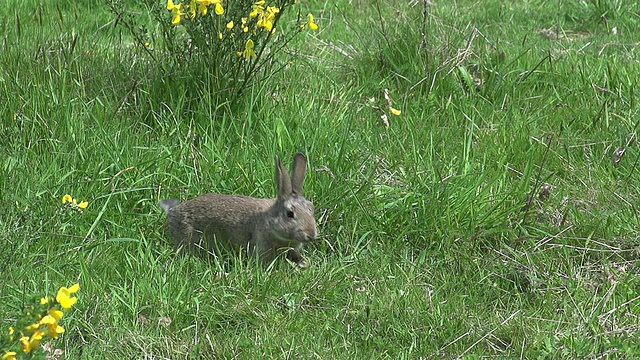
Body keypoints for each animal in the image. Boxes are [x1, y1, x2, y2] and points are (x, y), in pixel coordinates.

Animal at [158, 152, 318, 268]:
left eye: (311, 208)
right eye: (290, 214)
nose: (311, 235)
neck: (269, 220)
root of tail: (173, 211)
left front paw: (303, 264)